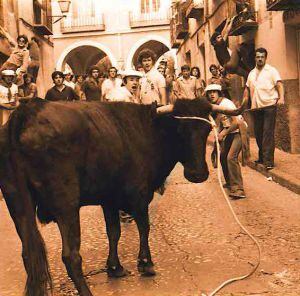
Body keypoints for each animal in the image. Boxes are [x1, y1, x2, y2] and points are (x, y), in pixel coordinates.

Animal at [0, 98, 245, 294]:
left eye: (205, 131)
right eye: (180, 131)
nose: (198, 174)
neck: (148, 130)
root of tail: (26, 112)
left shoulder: (109, 199)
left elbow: (113, 232)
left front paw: (115, 267)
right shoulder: (139, 194)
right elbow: (144, 227)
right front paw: (145, 263)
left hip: (17, 203)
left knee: (28, 254)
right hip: (66, 205)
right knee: (70, 256)